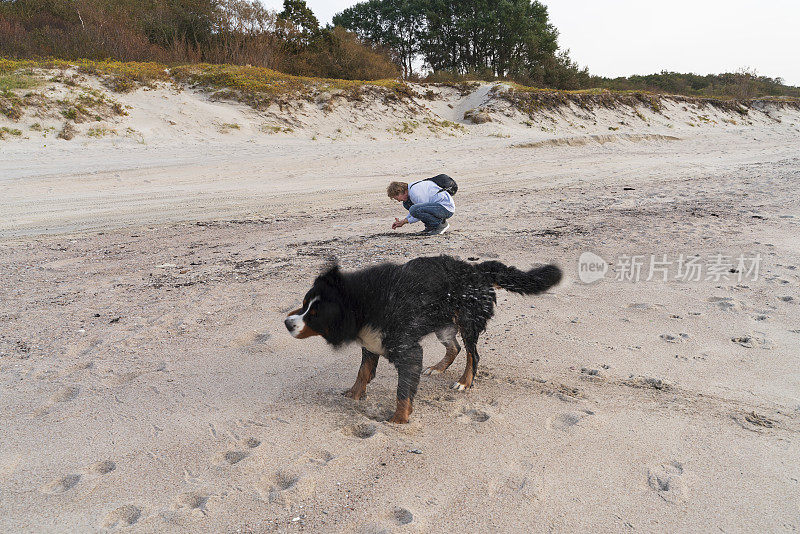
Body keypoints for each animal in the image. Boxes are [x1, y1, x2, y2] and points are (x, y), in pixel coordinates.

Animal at [288, 258, 564, 426]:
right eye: (304, 304)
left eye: (315, 314)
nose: (287, 323)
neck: (365, 304)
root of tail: (476, 270)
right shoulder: (371, 344)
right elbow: (362, 372)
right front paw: (353, 395)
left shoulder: (408, 351)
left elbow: (403, 392)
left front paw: (398, 421)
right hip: (443, 325)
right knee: (455, 348)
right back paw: (438, 368)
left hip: (468, 320)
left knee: (472, 355)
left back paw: (465, 381)